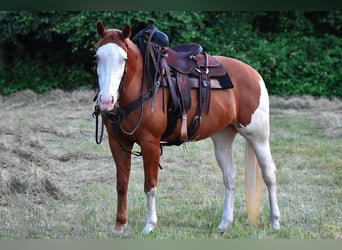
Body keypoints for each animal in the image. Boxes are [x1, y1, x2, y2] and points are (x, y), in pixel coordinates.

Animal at [93, 20, 280, 234]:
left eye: (123, 59)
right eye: (97, 57)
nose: (106, 101)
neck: (142, 84)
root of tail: (254, 74)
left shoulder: (150, 143)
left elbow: (150, 186)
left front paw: (150, 225)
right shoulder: (118, 142)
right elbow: (122, 184)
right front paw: (120, 225)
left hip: (257, 135)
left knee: (269, 173)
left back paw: (275, 222)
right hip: (223, 137)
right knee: (230, 177)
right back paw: (225, 223)